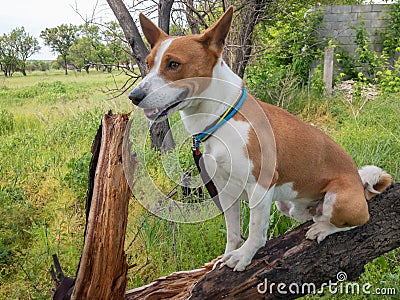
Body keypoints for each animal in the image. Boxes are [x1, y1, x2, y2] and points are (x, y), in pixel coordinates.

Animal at [130, 7, 392, 272]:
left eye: (174, 64)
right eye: (148, 64)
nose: (134, 96)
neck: (222, 117)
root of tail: (360, 185)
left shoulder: (260, 186)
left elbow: (255, 232)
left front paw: (243, 256)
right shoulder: (225, 190)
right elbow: (233, 232)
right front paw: (227, 255)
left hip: (338, 200)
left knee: (357, 220)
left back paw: (323, 229)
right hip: (287, 205)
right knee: (311, 215)